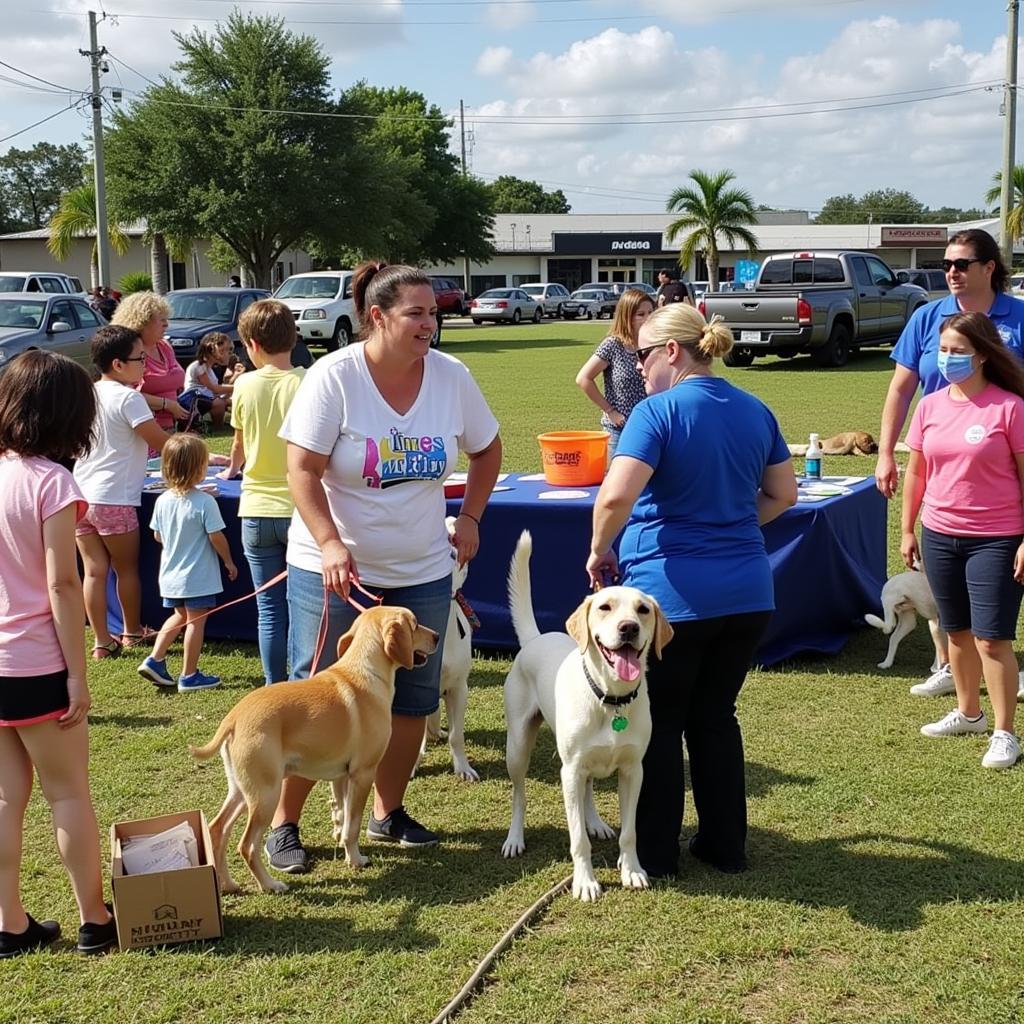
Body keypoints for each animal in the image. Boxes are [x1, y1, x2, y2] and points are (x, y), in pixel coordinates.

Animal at [190, 602, 438, 892]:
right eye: (415, 623)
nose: (437, 637)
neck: (365, 672)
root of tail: (234, 717)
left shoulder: (341, 776)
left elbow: (342, 816)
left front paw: (342, 844)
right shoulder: (363, 774)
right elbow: (353, 826)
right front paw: (356, 860)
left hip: (242, 790)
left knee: (217, 830)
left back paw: (228, 884)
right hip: (267, 794)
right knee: (247, 845)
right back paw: (271, 885)